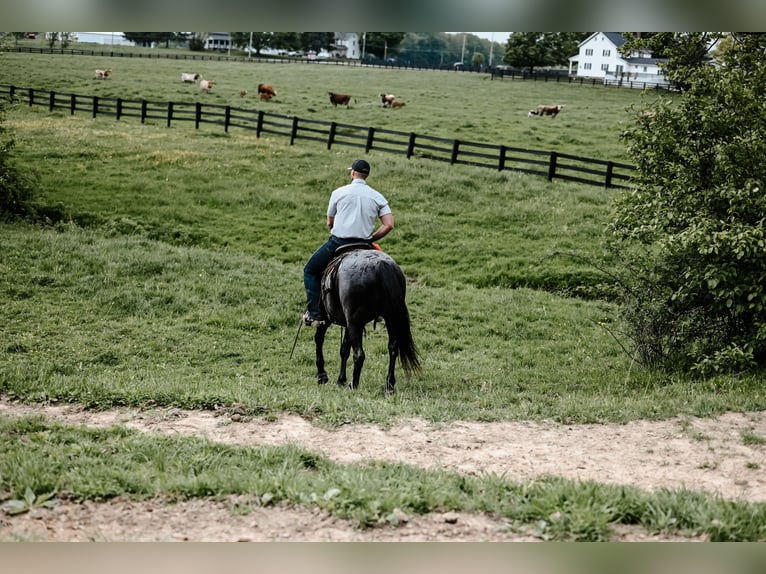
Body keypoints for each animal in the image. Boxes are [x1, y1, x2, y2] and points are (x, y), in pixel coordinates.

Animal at [312, 248, 420, 396]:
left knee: (359, 355)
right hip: (390, 318)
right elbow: (344, 349)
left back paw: (354, 384)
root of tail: (382, 267)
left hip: (355, 323)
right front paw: (340, 380)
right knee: (393, 348)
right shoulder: (348, 325)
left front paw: (323, 376)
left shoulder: (329, 319)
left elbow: (320, 340)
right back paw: (389, 385)